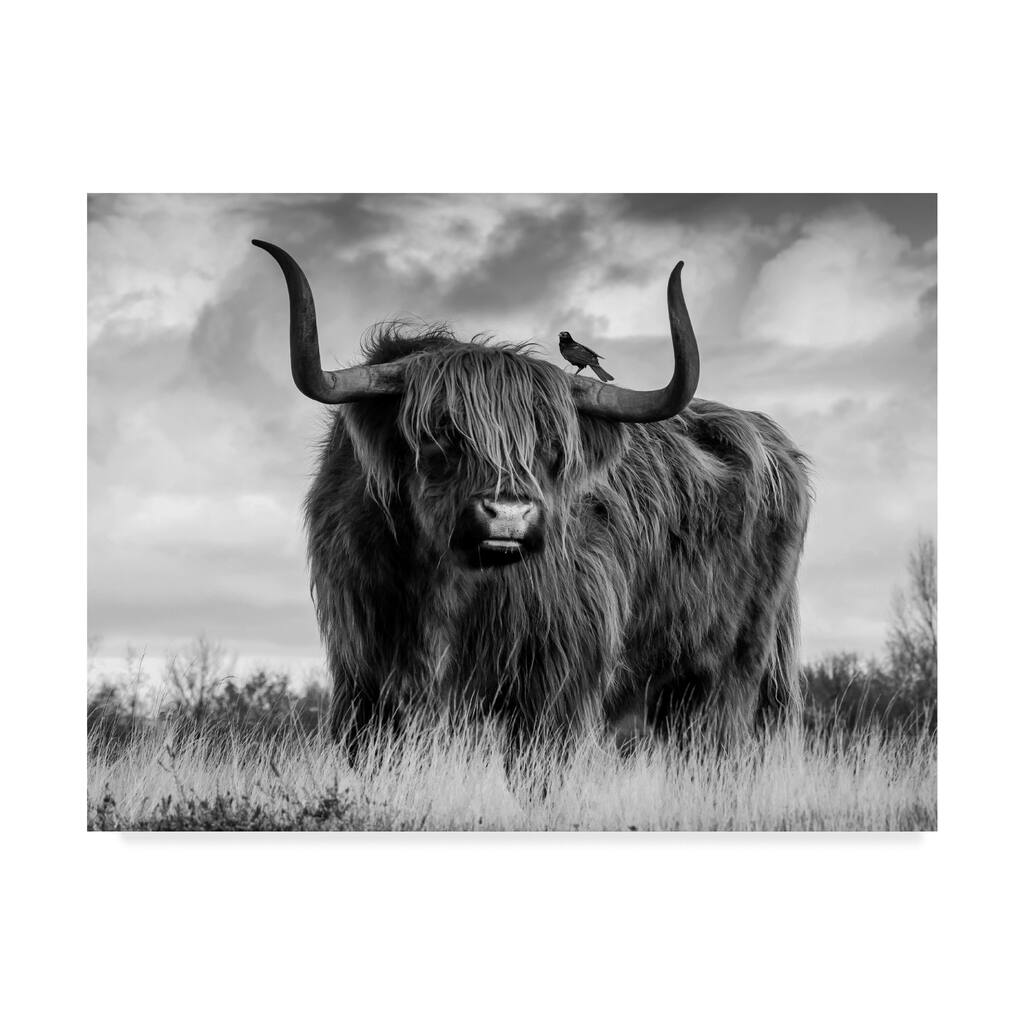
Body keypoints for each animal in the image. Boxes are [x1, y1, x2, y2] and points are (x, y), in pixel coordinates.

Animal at [253, 239, 811, 758]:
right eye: (439, 435)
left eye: (551, 446)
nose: (509, 515)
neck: (447, 586)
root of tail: (774, 442)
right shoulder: (365, 678)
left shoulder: (556, 684)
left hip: (729, 676)